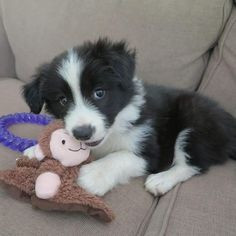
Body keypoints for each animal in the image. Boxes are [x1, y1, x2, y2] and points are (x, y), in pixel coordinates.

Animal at [23, 38, 236, 195]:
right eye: (63, 100)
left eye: (99, 93)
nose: (82, 133)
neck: (115, 127)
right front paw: (35, 150)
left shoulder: (151, 150)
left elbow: (120, 156)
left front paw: (93, 175)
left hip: (196, 119)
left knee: (194, 163)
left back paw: (162, 180)